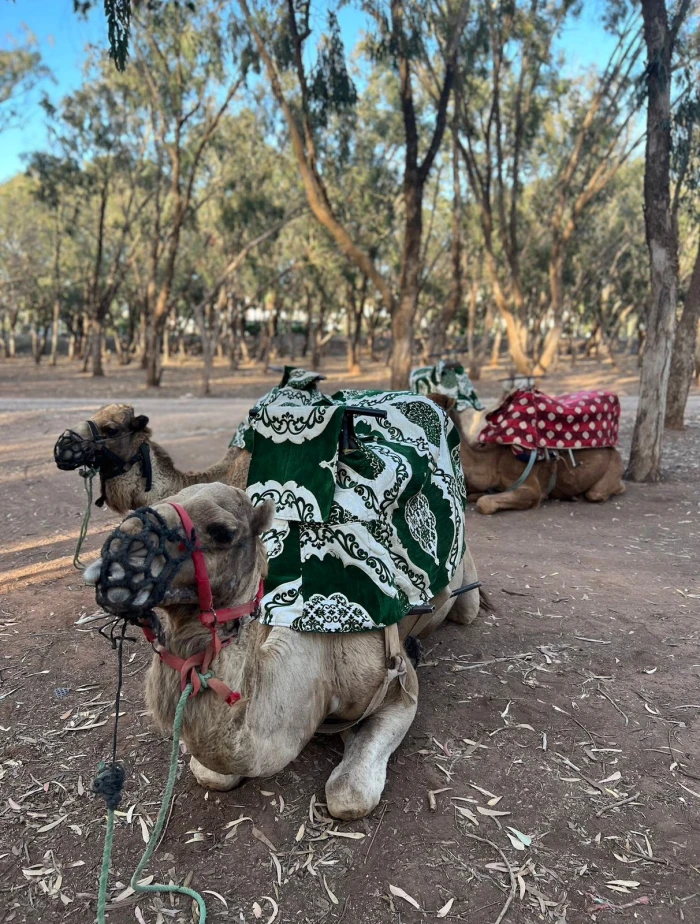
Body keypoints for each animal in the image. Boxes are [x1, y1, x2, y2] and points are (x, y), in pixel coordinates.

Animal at [430, 394, 626, 515]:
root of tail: (615, 450)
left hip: (611, 471)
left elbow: (485, 502)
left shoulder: (530, 487)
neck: (491, 463)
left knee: (599, 492)